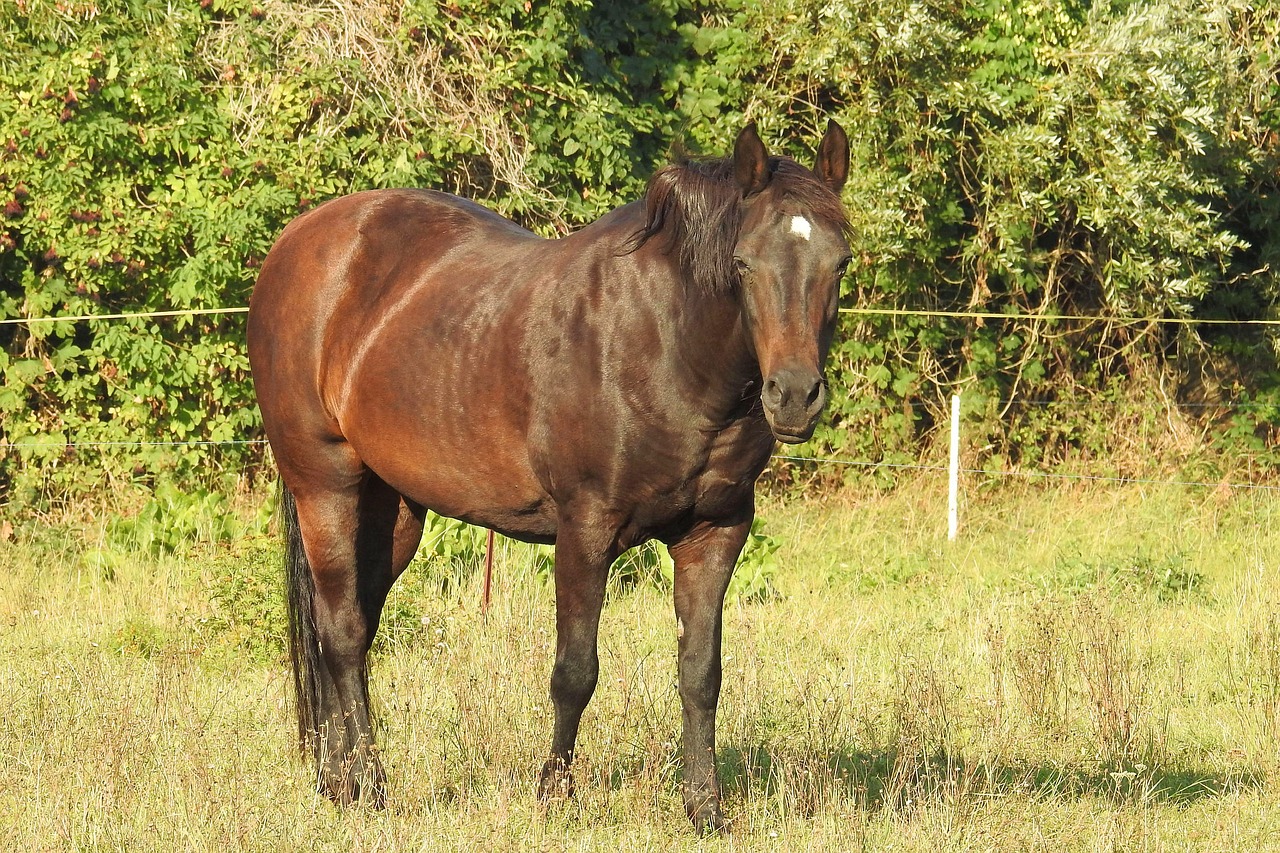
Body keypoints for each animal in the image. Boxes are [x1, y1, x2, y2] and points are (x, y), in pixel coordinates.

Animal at [247, 116, 849, 824]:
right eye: (744, 263)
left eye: (839, 262)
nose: (794, 395)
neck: (666, 347)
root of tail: (299, 239)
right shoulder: (585, 528)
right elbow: (575, 671)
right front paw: (553, 793)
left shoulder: (715, 532)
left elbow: (701, 673)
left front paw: (705, 808)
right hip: (325, 483)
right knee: (341, 633)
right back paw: (369, 786)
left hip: (391, 509)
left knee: (345, 628)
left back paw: (336, 780)